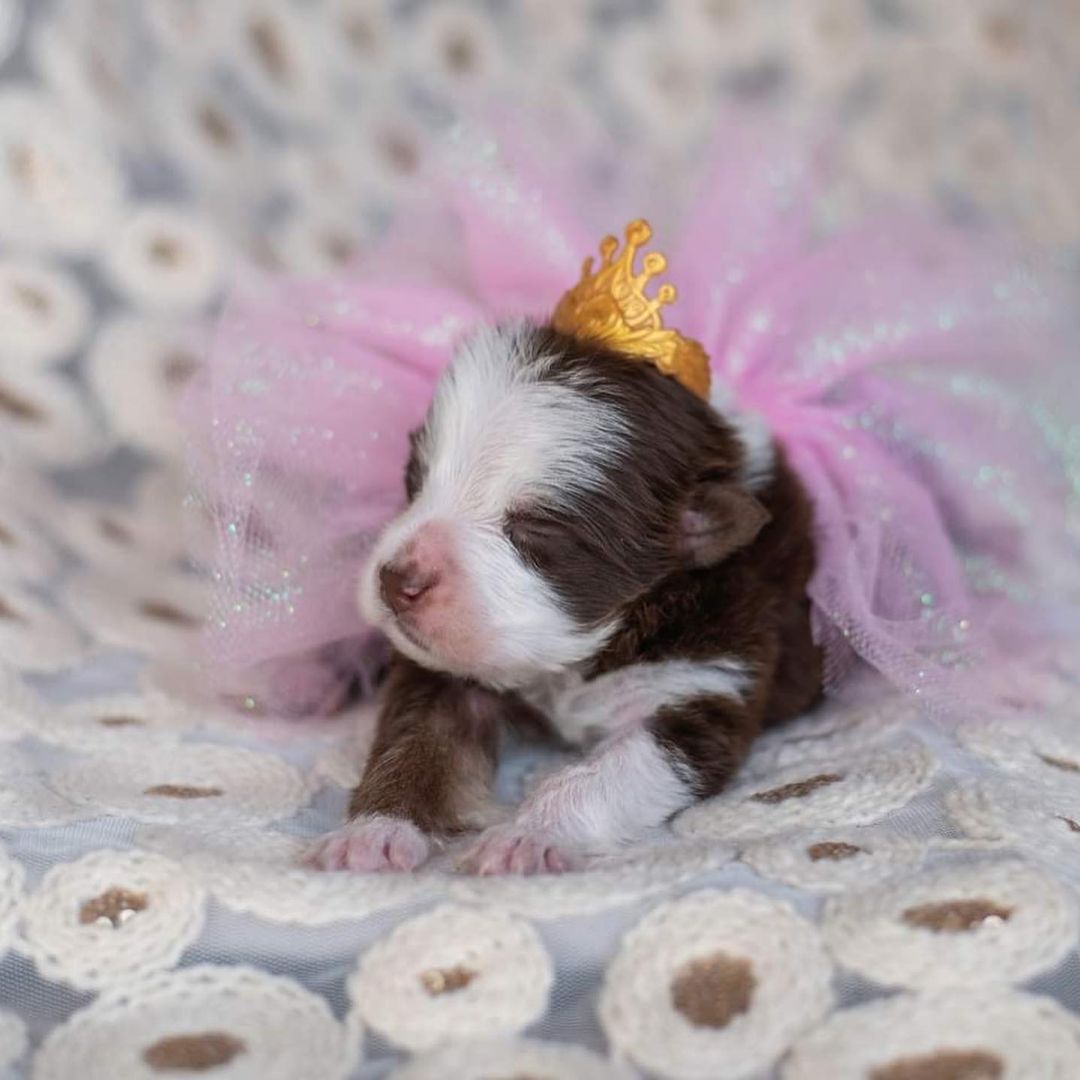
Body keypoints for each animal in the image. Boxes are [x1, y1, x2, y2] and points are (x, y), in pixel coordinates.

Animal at [304, 319, 816, 876]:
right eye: (415, 479)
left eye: (535, 530)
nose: (397, 580)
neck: (573, 655)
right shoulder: (442, 672)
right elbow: (414, 741)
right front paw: (373, 831)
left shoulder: (707, 683)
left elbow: (611, 774)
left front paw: (526, 835)